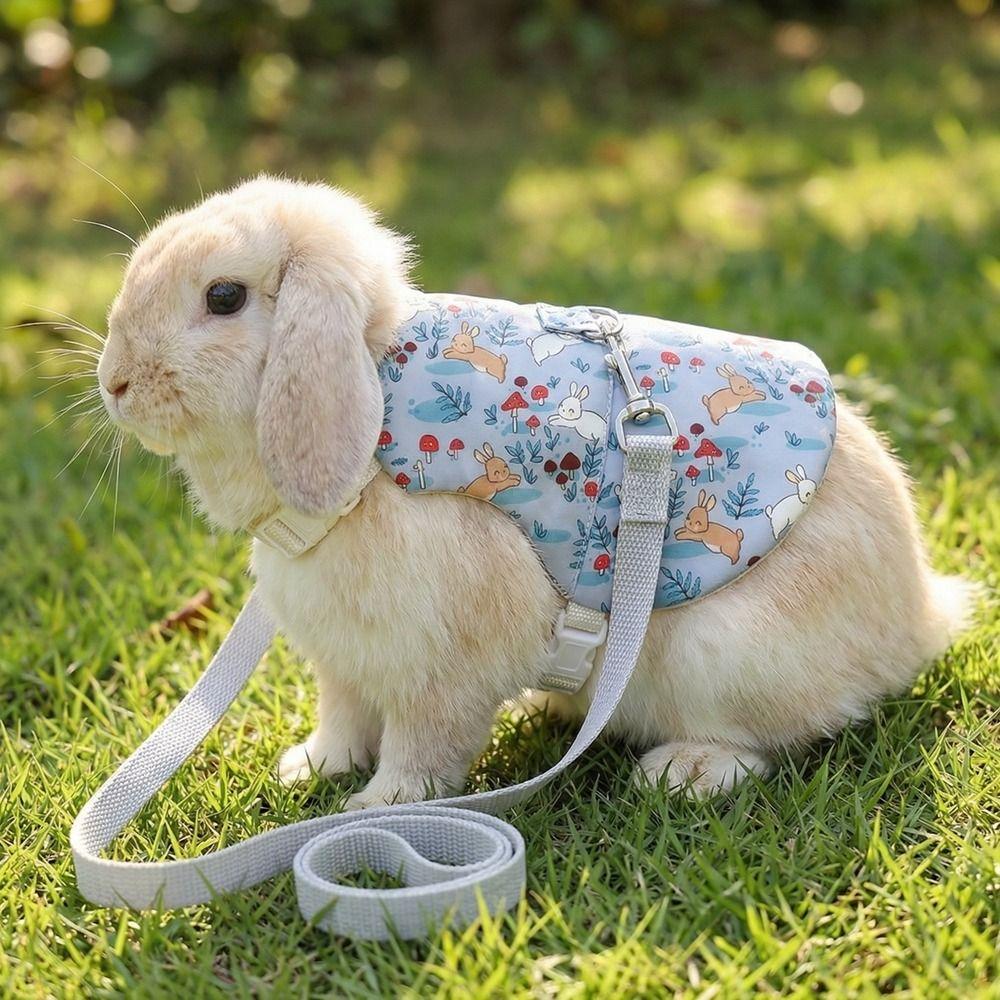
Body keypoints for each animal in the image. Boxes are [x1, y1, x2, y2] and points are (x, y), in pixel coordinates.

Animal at [97, 176, 975, 804]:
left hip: (722, 652)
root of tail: (917, 617)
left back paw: (684, 772)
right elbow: (343, 712)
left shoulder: (440, 657)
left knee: (778, 740)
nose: (115, 383)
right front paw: (313, 768)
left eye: (224, 297)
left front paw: (376, 809)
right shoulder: (344, 654)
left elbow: (425, 740)